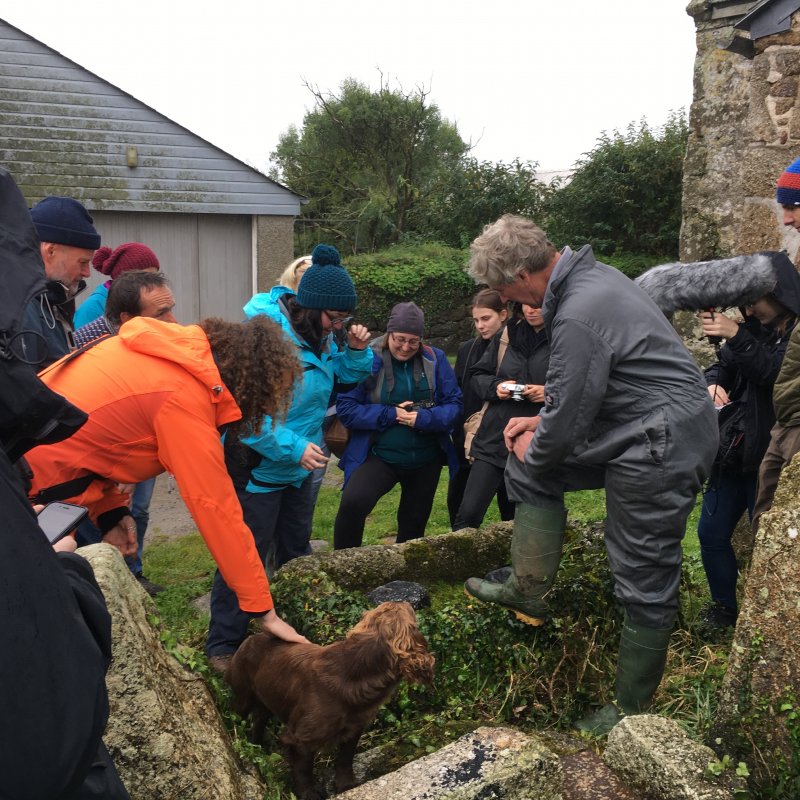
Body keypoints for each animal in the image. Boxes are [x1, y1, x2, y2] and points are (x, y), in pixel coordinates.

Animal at [225, 600, 434, 800]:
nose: (405, 601)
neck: (354, 669)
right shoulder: (299, 739)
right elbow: (303, 770)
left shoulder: (354, 728)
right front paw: (309, 793)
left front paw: (345, 784)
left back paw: (258, 747)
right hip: (243, 697)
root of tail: (249, 639)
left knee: (258, 721)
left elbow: (345, 758)